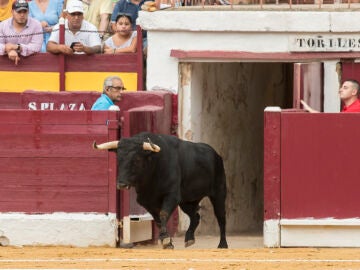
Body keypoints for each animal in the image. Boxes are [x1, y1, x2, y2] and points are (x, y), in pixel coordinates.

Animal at [93, 132, 228, 249]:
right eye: (118, 159)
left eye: (137, 159)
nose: (121, 184)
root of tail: (216, 155)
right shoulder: (145, 201)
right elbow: (157, 219)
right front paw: (166, 240)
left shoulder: (172, 196)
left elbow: (163, 214)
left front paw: (165, 239)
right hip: (187, 201)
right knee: (195, 216)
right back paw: (189, 238)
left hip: (219, 193)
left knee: (221, 217)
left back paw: (222, 244)